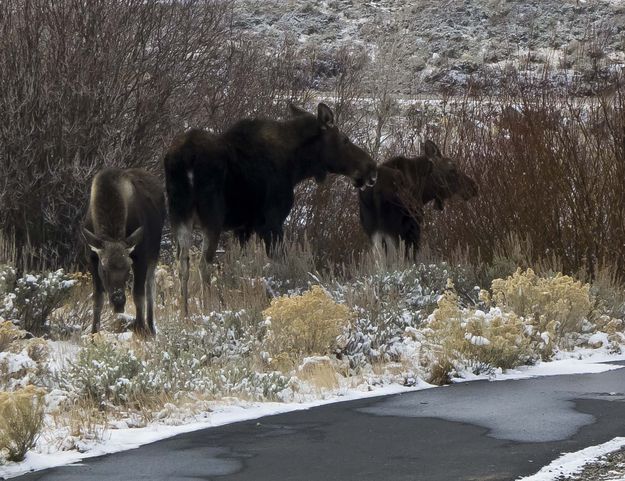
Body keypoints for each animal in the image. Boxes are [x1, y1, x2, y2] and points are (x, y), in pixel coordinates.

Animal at [83, 167, 166, 336]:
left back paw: (151, 327)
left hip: (154, 252)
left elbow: (138, 295)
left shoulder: (140, 256)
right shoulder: (92, 258)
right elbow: (98, 298)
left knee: (150, 287)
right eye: (104, 269)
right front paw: (94, 332)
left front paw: (141, 329)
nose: (119, 303)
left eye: (127, 268)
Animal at [165, 102, 376, 316]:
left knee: (183, 263)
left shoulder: (243, 227)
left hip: (179, 216)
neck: (296, 167)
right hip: (212, 218)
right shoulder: (270, 222)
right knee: (203, 264)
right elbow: (281, 266)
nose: (371, 167)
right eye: (345, 140)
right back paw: (209, 307)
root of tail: (184, 158)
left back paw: (185, 313)